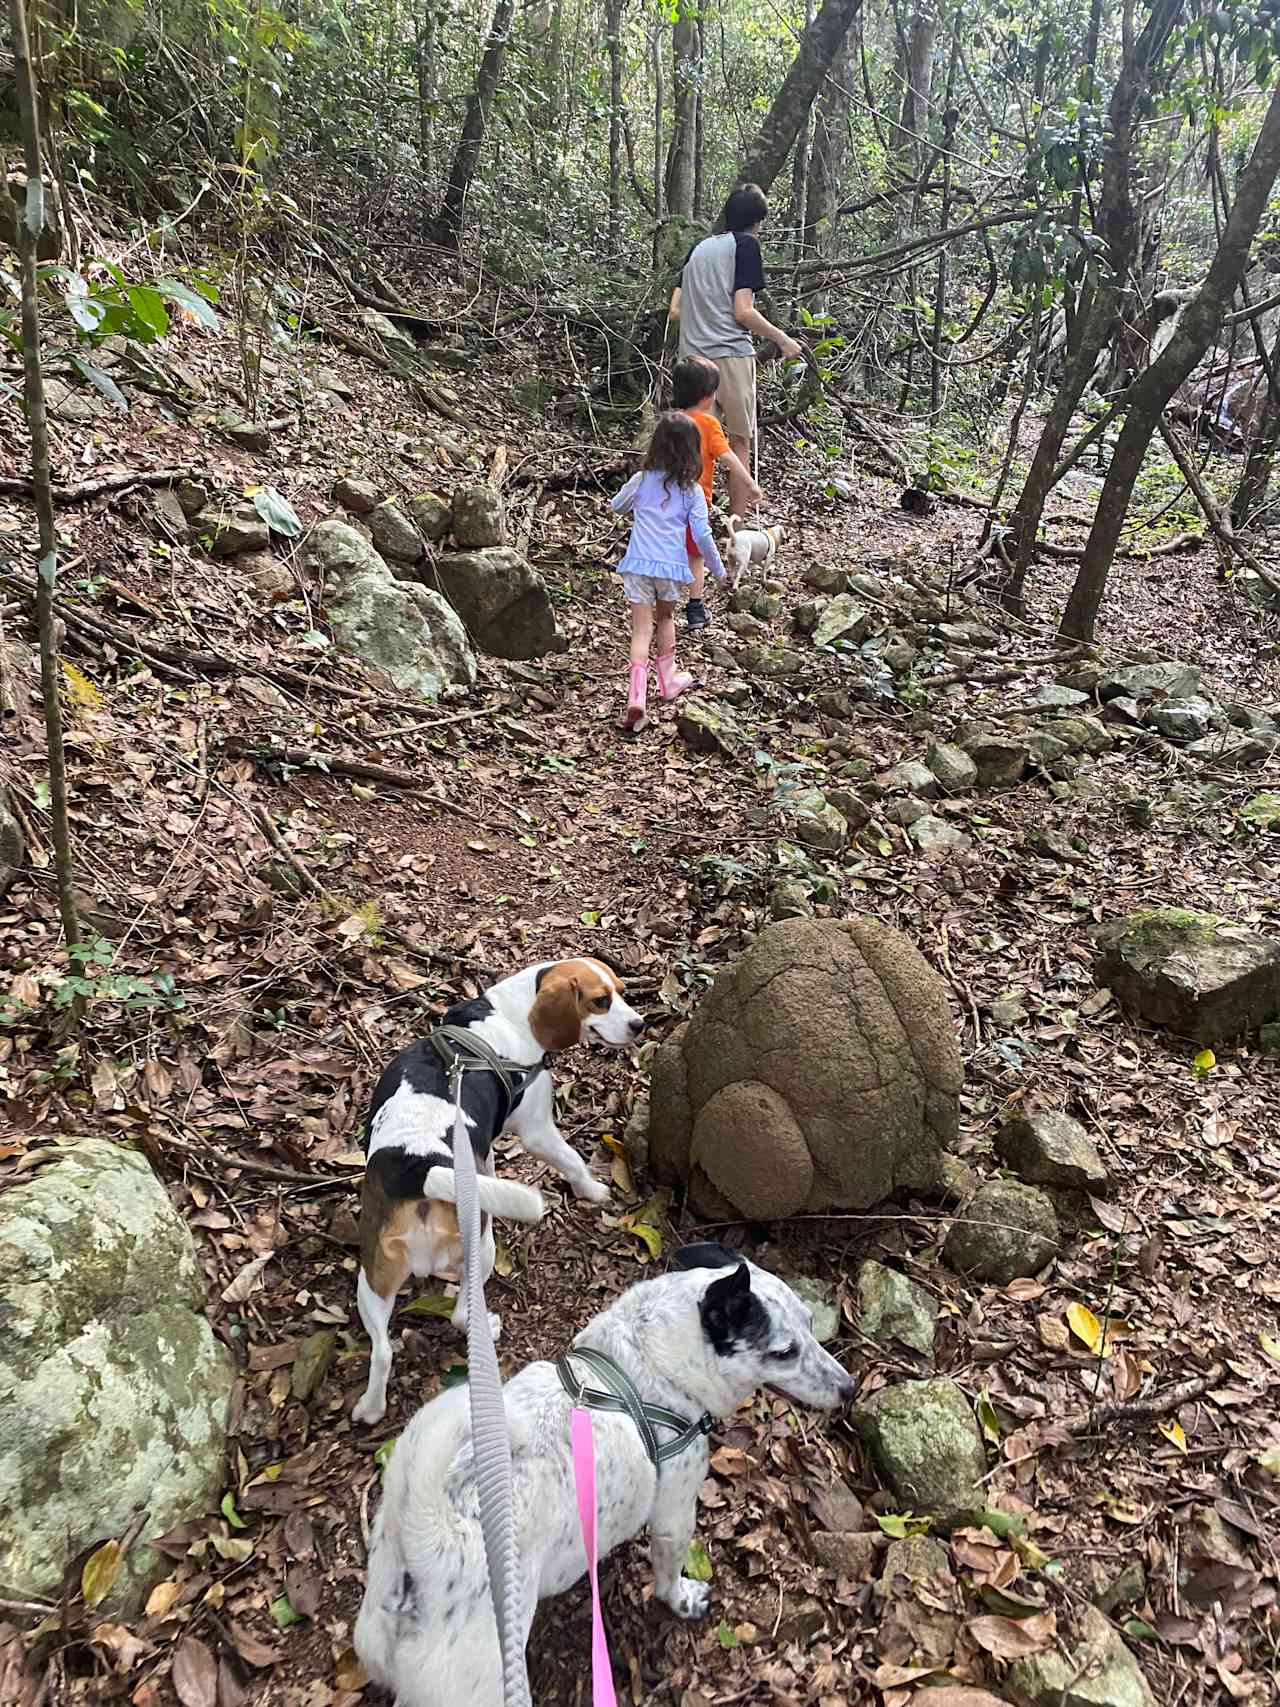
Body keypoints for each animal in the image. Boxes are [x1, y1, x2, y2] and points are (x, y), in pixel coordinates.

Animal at [356, 1242, 856, 1707]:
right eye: (785, 1352)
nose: (850, 1388)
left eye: (811, 1323)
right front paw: (682, 1599)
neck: (645, 1367)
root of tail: (429, 1542)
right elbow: (669, 1575)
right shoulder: (675, 1516)